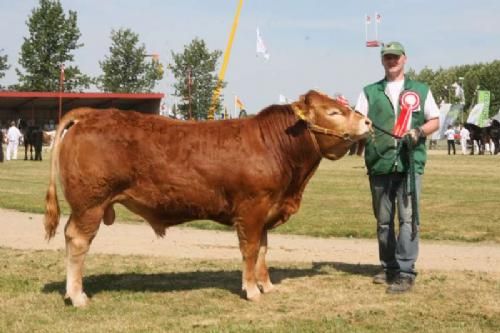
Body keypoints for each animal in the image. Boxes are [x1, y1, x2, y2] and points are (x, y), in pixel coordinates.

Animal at [44, 89, 372, 304]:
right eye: (333, 112)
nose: (368, 122)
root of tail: (89, 114)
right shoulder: (252, 209)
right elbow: (250, 250)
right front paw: (251, 290)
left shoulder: (268, 210)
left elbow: (263, 250)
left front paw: (266, 285)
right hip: (91, 203)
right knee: (77, 240)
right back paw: (77, 295)